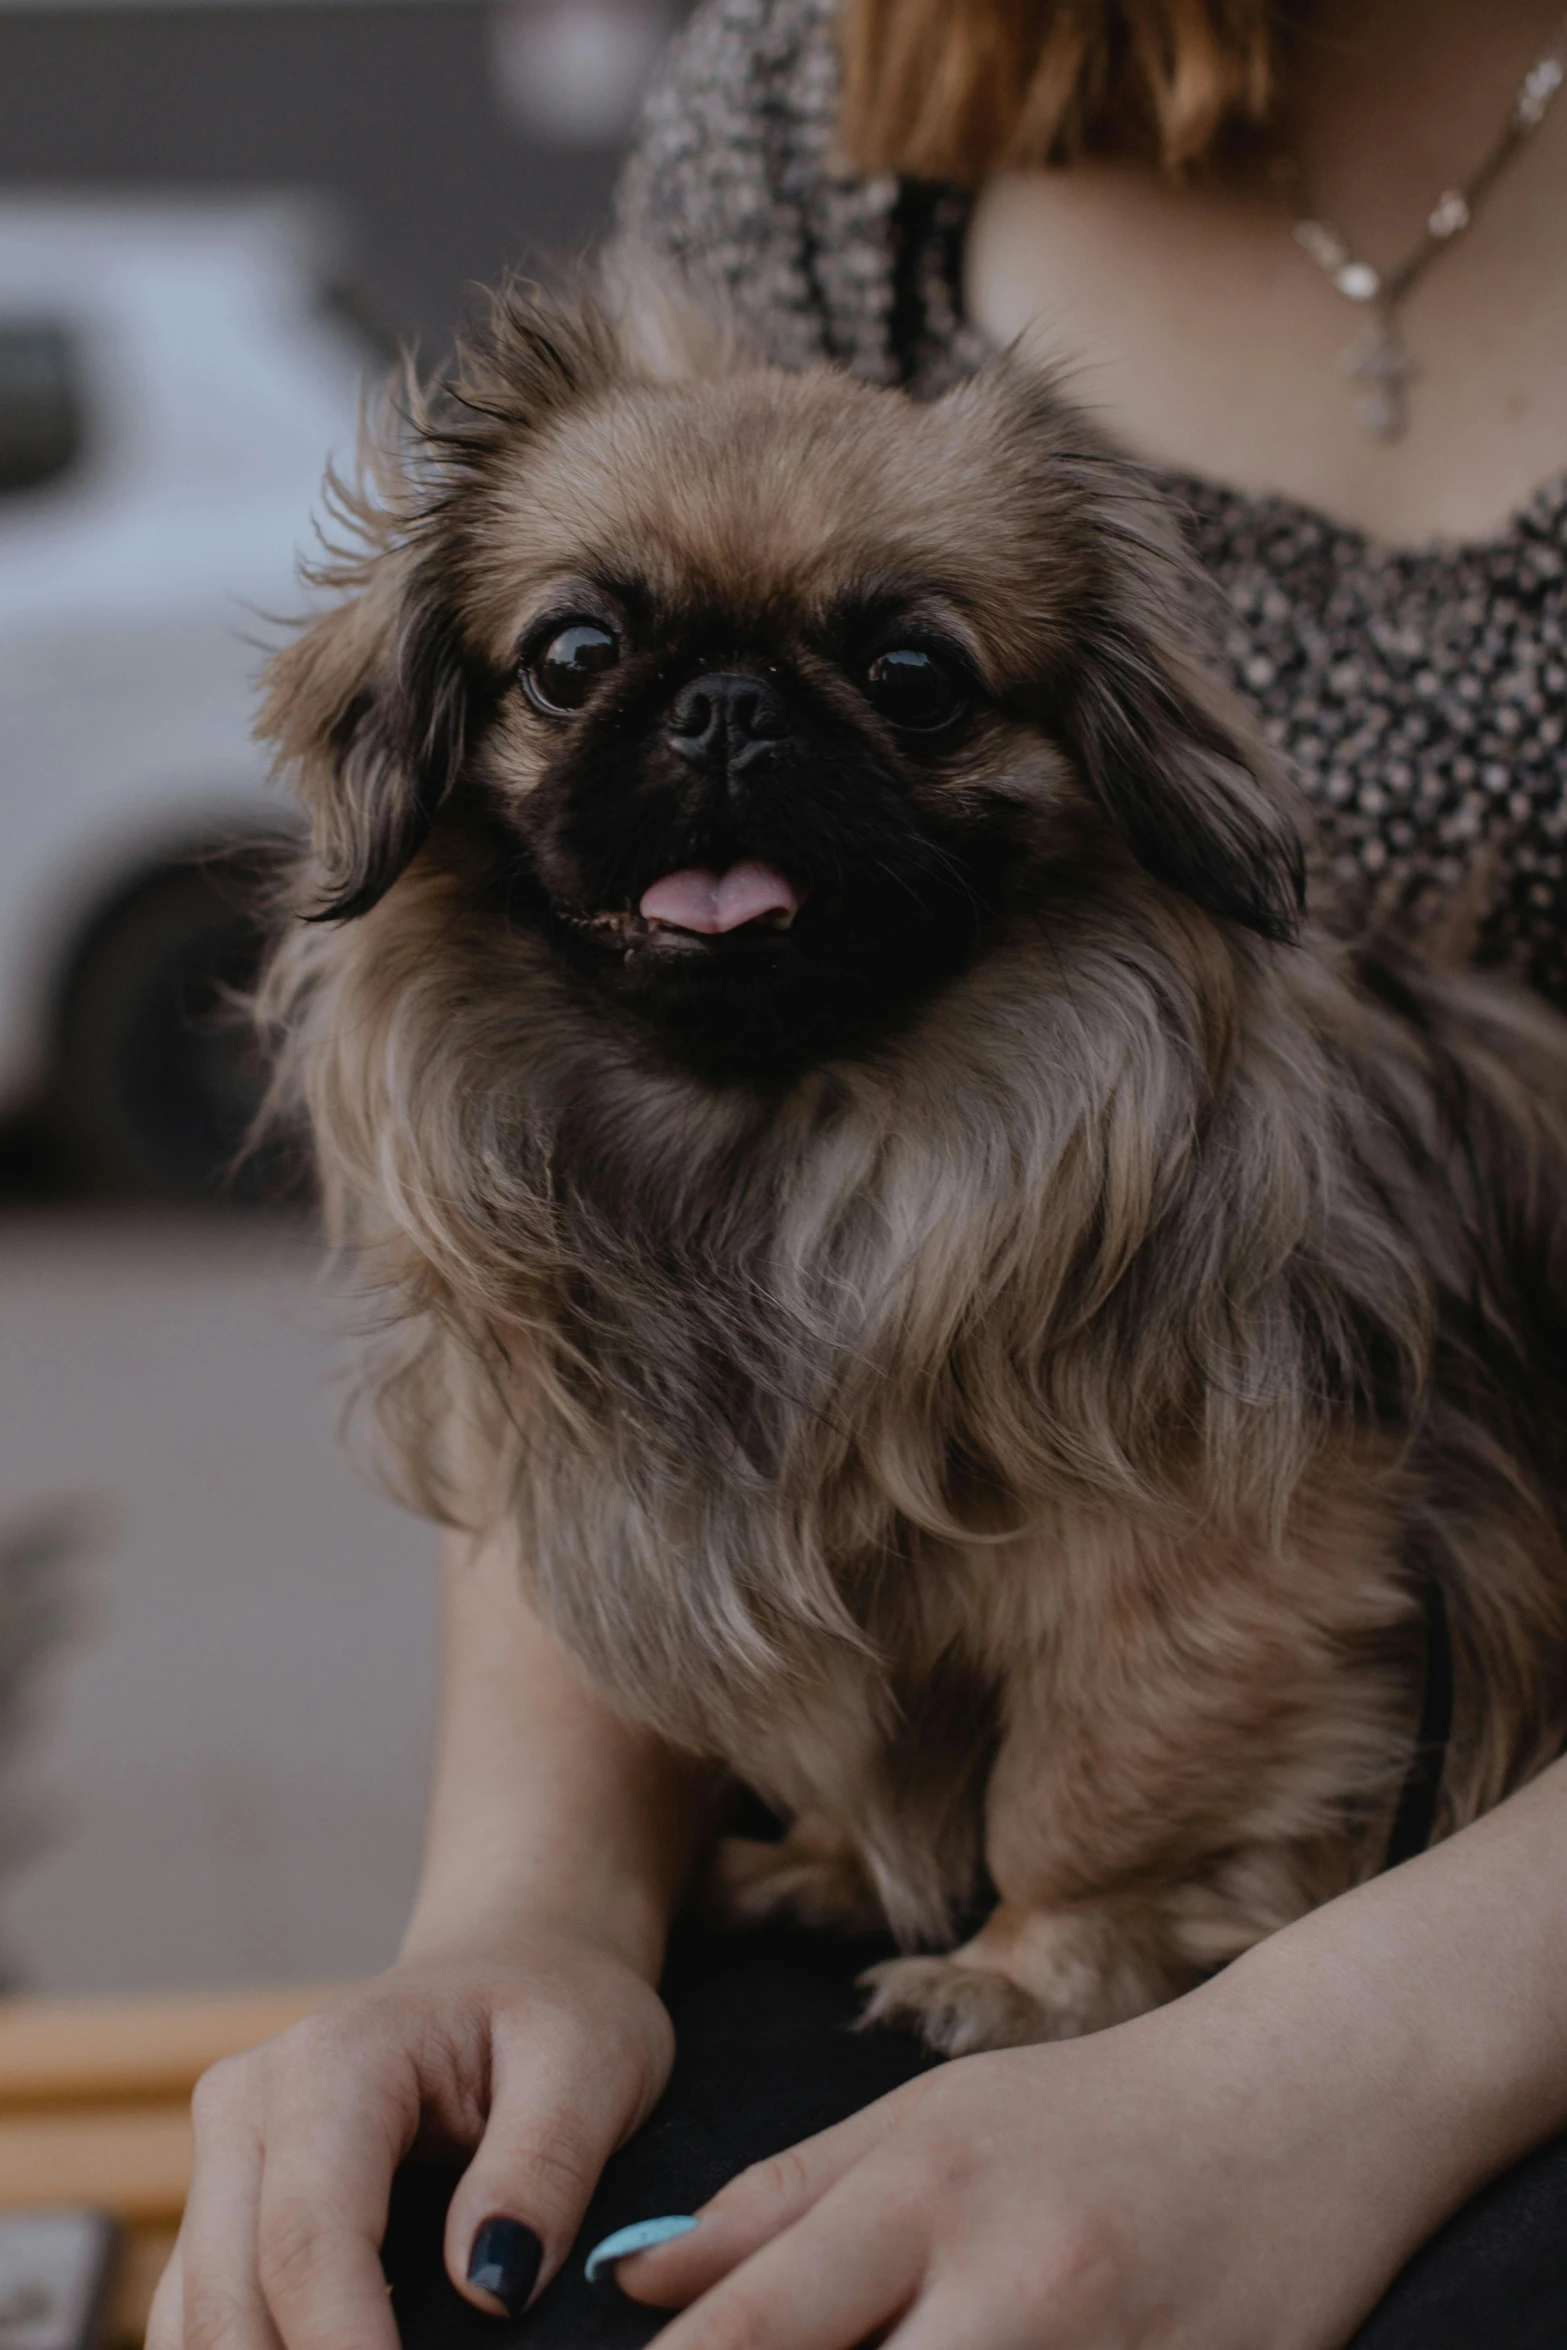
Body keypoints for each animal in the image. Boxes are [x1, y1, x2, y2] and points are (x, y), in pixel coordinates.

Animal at [260, 266, 1567, 2049]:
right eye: (574, 655)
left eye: (911, 673)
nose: (725, 705)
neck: (784, 1141)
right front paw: (826, 1860)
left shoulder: (1212, 1582)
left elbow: (1081, 1793)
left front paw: (1016, 1971)